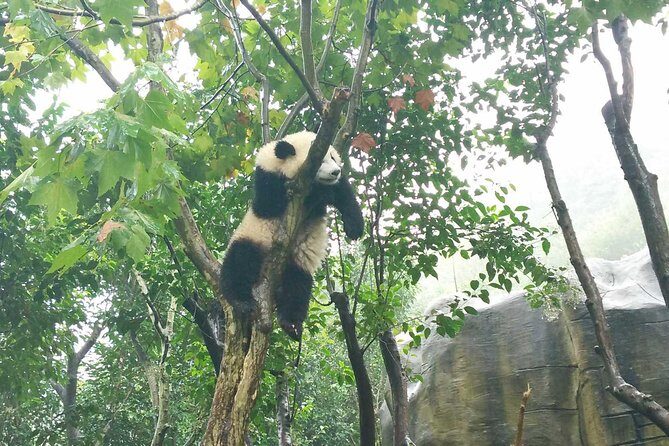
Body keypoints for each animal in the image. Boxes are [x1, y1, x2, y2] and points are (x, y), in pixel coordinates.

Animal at [220, 130, 364, 340]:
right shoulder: (267, 179)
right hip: (253, 237)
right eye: (321, 160)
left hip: (297, 259)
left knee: (297, 285)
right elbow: (271, 203)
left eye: (333, 157)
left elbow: (344, 195)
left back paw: (291, 324)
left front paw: (354, 228)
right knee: (240, 261)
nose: (336, 171)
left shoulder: (333, 188)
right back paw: (242, 302)